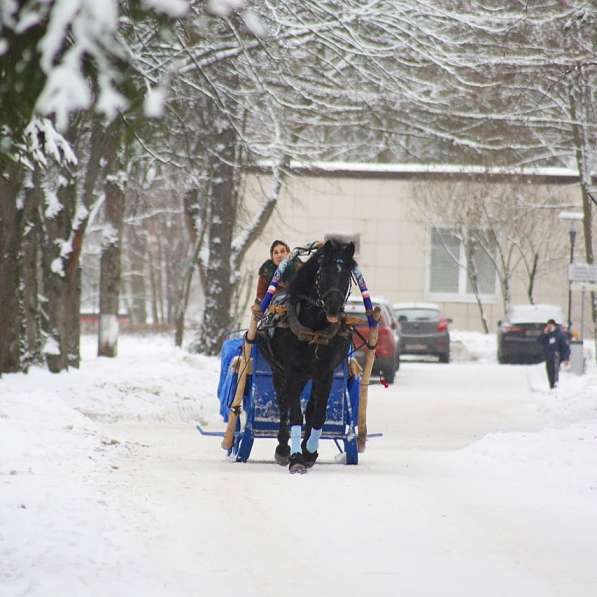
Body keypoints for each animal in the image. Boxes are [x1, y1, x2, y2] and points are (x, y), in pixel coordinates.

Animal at [255, 240, 354, 472]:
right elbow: (294, 414)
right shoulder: (292, 371)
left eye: (347, 273)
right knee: (284, 403)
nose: (334, 307)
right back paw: (283, 448)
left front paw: (309, 451)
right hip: (278, 370)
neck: (314, 328)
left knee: (310, 406)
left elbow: (318, 414)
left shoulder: (326, 373)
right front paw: (296, 457)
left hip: (311, 375)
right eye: (323, 272)